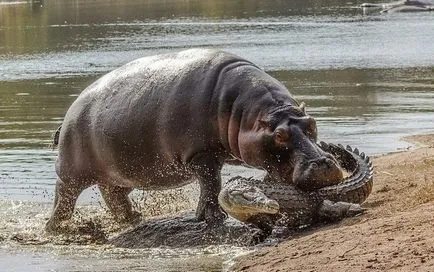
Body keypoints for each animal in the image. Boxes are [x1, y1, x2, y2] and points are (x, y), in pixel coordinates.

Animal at [45, 49, 344, 232]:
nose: (324, 163)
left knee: (113, 195)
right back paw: (57, 228)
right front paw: (214, 218)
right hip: (73, 172)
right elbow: (211, 185)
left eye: (312, 123)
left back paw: (134, 219)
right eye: (280, 135)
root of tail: (69, 113)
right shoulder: (201, 155)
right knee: (64, 196)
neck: (245, 113)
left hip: (121, 173)